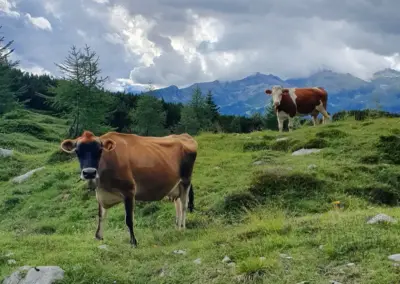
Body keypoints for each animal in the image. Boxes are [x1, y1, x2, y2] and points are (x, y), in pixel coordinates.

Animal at [60, 130, 198, 246]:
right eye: (77, 151)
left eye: (99, 150)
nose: (89, 173)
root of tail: (184, 135)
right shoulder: (100, 193)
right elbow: (101, 215)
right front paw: (98, 237)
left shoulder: (129, 190)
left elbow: (129, 219)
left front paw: (133, 242)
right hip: (176, 187)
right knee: (178, 205)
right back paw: (177, 228)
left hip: (186, 180)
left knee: (184, 205)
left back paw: (182, 228)